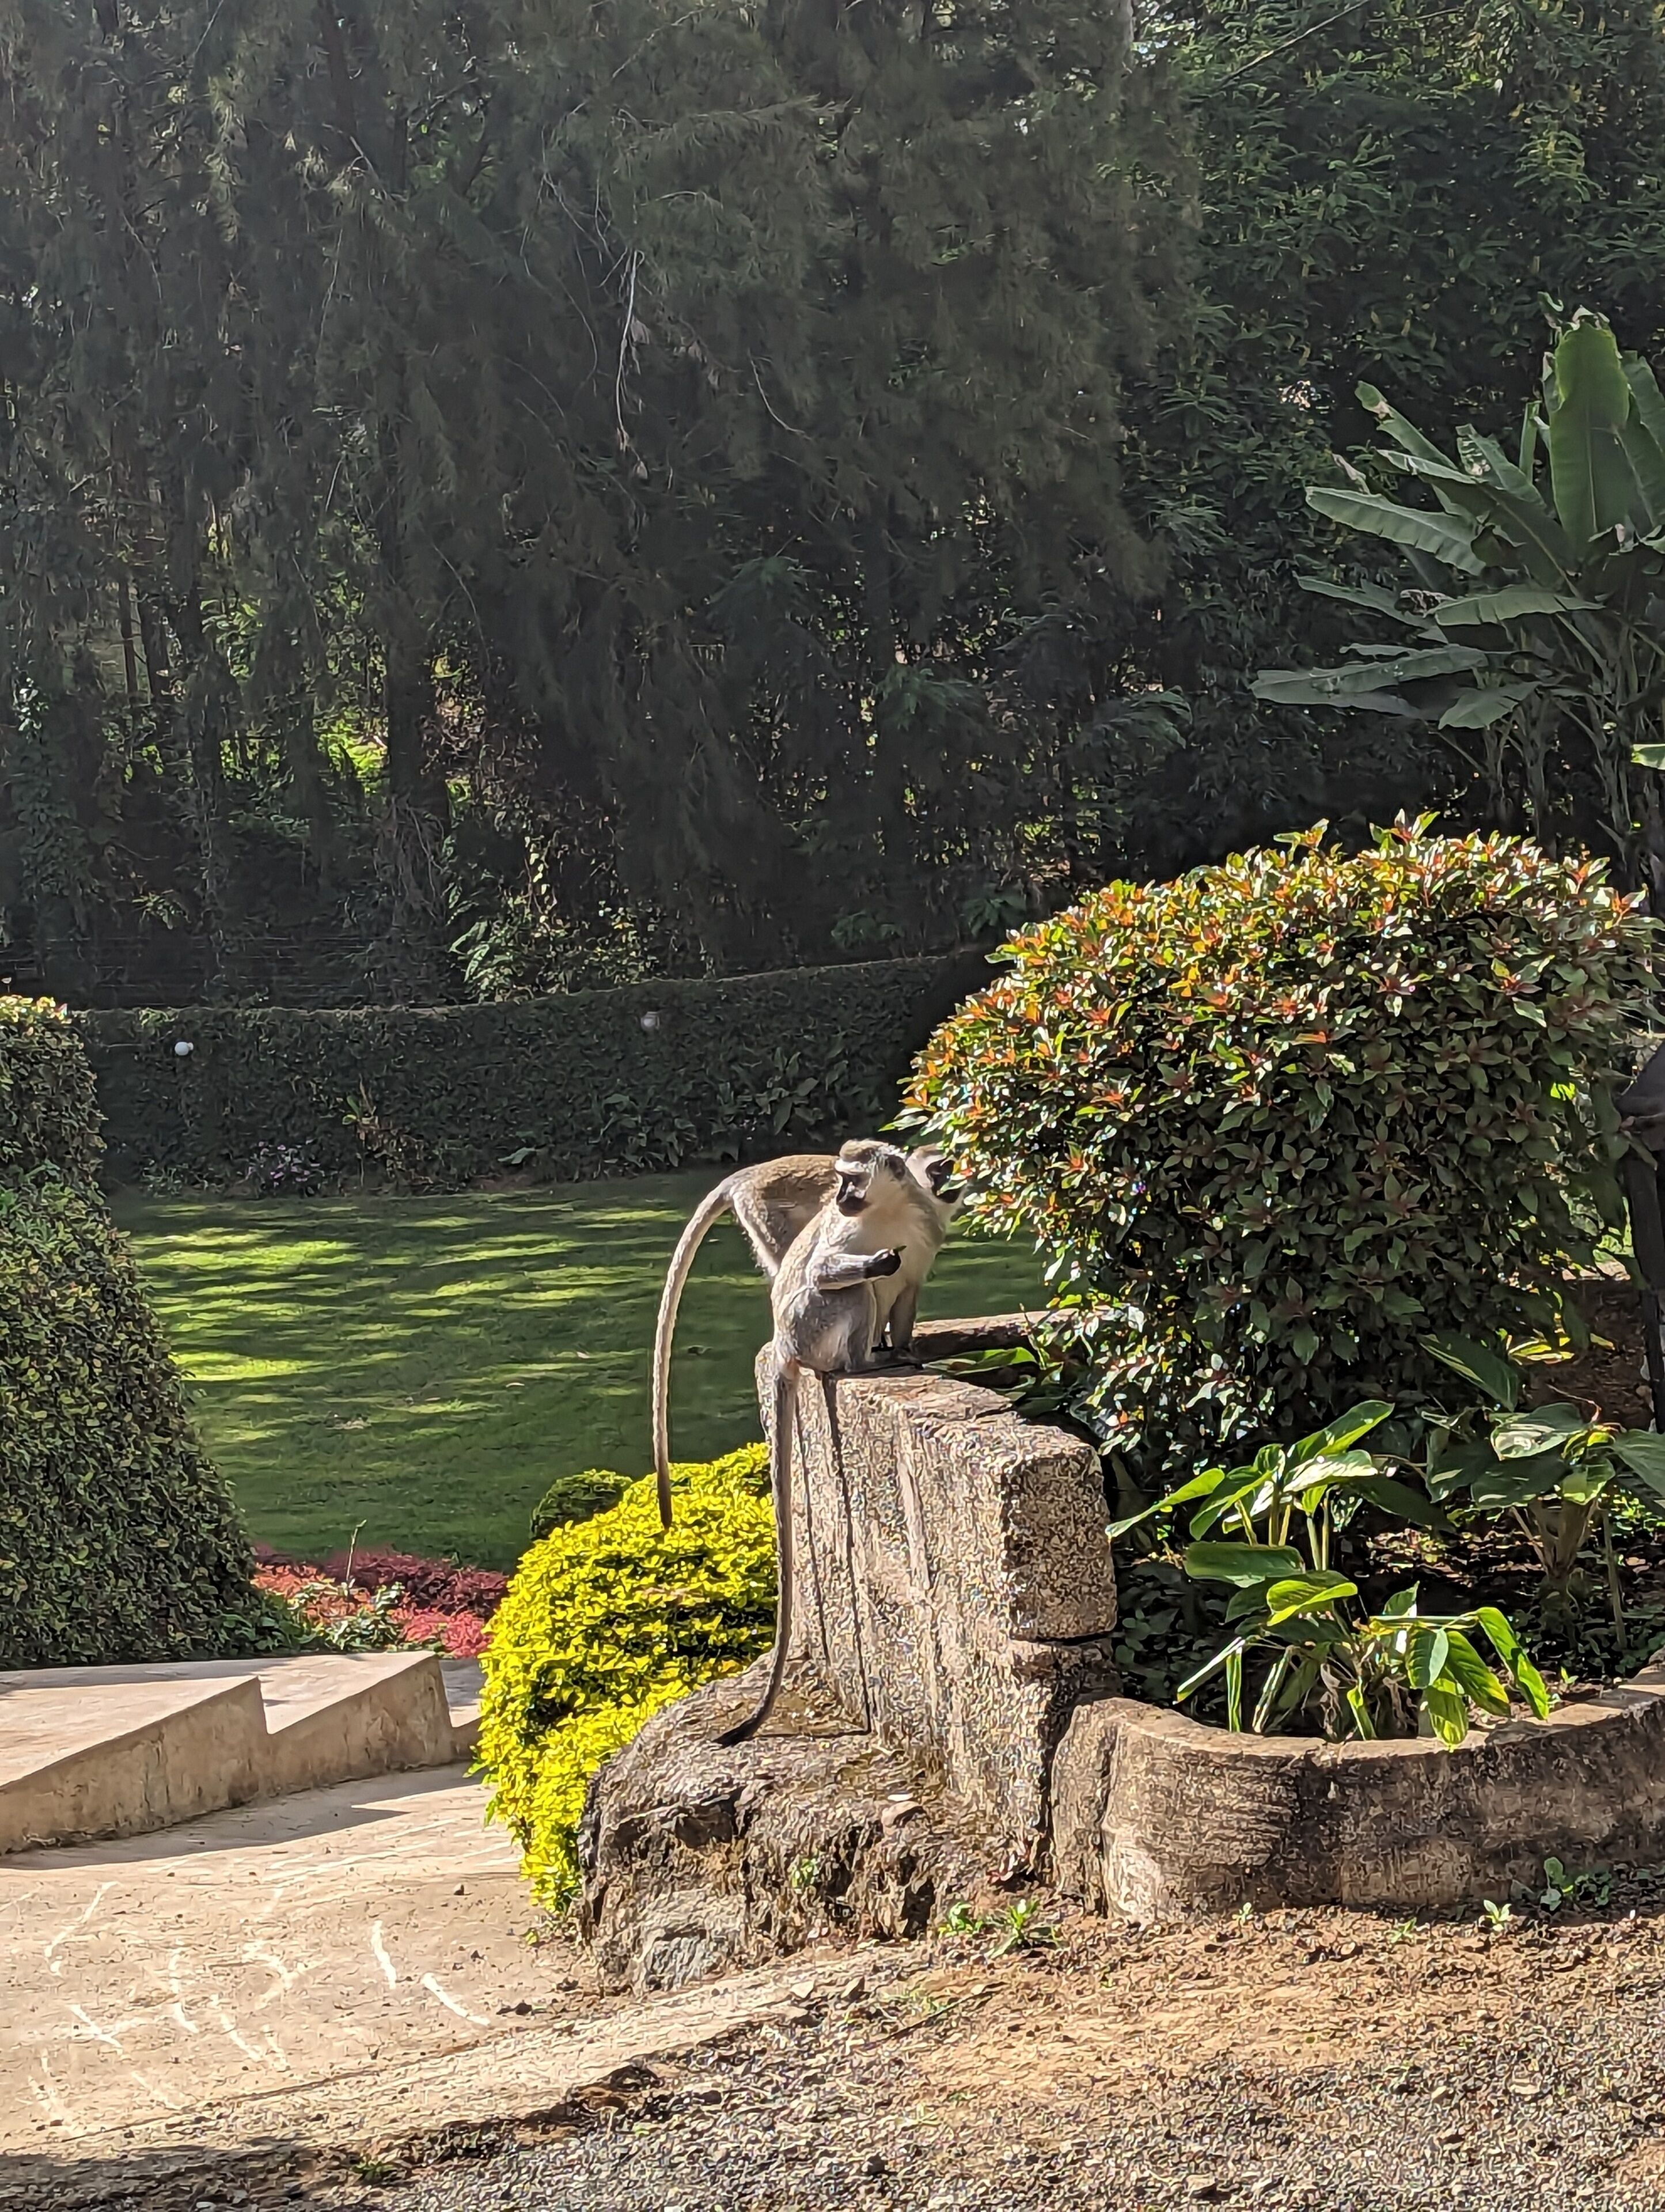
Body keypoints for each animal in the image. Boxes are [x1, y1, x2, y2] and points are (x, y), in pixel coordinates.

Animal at [714, 1139, 958, 1747]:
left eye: (852, 1179)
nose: (840, 1196)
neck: (886, 1211)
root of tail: (784, 1346)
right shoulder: (847, 1239)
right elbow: (830, 1271)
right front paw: (872, 1267)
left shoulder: (922, 1224)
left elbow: (909, 1289)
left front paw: (908, 1349)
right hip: (810, 1327)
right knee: (849, 1292)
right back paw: (862, 1362)